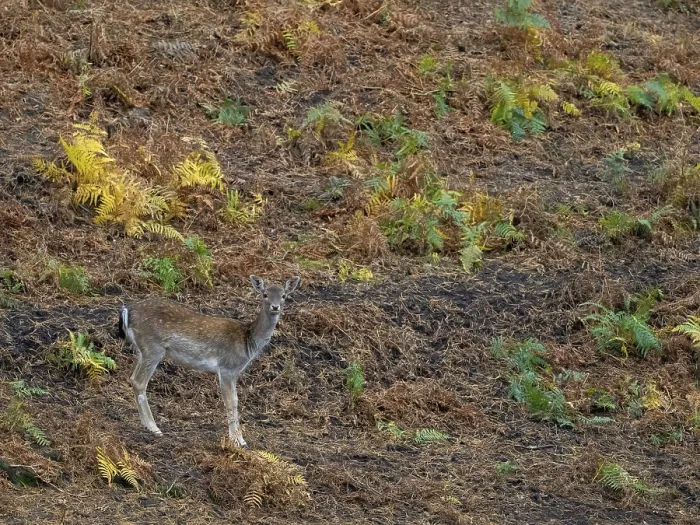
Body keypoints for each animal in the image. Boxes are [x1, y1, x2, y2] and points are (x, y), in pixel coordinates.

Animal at [118, 274, 300, 447]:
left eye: (284, 295)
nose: (275, 307)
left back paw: (145, 425)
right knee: (139, 381)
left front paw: (240, 439)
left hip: (141, 350)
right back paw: (154, 428)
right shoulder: (227, 367)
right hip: (153, 347)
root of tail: (127, 310)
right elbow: (231, 401)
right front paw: (237, 440)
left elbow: (235, 400)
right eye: (265, 294)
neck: (247, 341)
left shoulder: (233, 372)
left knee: (133, 378)